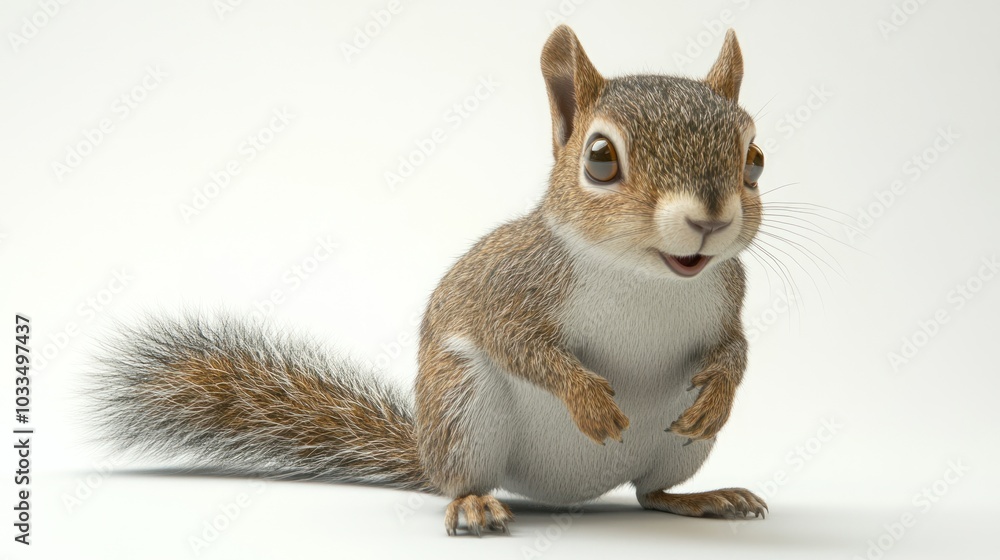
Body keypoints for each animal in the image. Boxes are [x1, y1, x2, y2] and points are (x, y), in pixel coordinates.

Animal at [92, 25, 769, 536]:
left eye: (755, 160)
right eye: (600, 159)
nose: (709, 220)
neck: (647, 277)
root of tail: (565, 493)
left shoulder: (729, 294)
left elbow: (736, 347)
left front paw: (722, 391)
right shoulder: (508, 288)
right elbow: (519, 345)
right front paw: (588, 400)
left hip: (676, 447)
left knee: (650, 493)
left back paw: (703, 498)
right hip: (462, 403)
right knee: (466, 479)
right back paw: (472, 505)